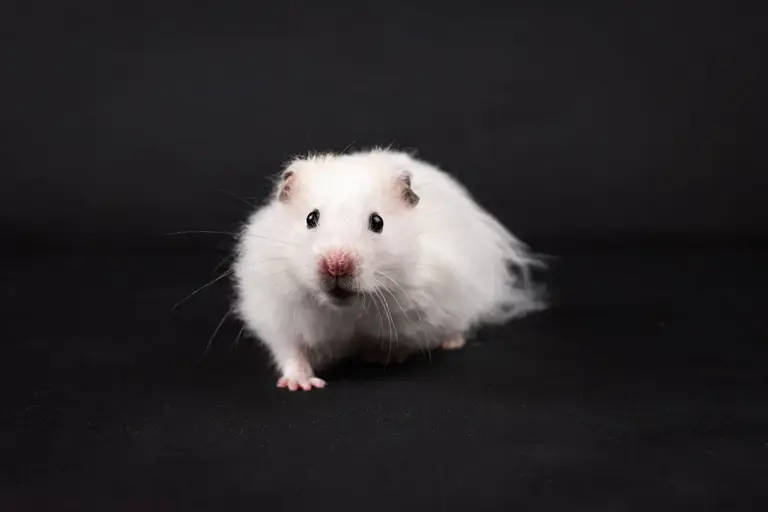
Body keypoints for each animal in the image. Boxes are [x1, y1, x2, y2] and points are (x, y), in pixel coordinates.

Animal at [233, 148, 545, 391]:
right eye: (311, 218)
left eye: (377, 222)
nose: (337, 264)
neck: (347, 311)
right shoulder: (277, 311)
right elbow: (291, 351)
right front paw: (301, 384)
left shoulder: (425, 306)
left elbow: (407, 340)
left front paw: (381, 357)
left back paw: (451, 342)